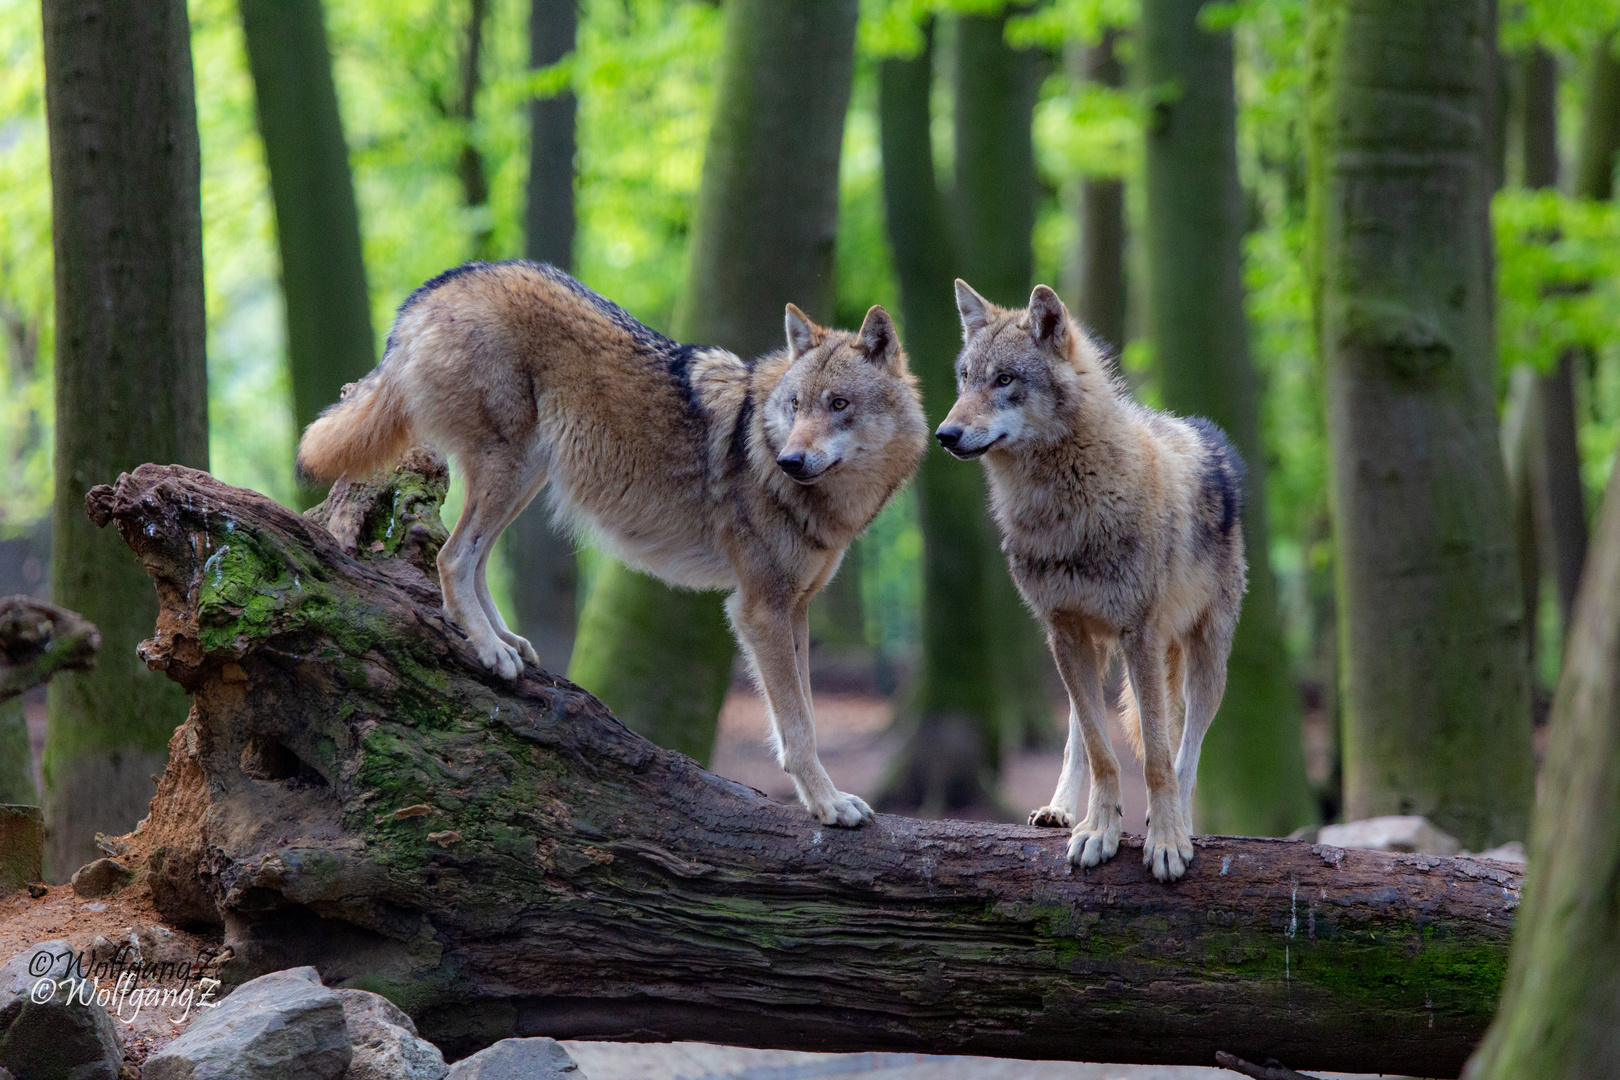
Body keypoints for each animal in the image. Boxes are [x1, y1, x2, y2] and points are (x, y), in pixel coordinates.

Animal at [299, 262, 933, 829]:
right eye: (796, 405)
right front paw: (827, 806)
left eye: (839, 404)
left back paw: (504, 640)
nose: (790, 461)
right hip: (511, 468)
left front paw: (818, 795)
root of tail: (435, 287)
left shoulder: (794, 609)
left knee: (472, 560)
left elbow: (802, 720)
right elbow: (799, 727)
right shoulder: (759, 610)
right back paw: (490, 650)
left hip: (527, 474)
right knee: (451, 557)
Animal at [933, 278, 1244, 880]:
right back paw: (1059, 810)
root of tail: (1207, 434)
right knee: (1080, 732)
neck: (1064, 510)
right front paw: (1098, 830)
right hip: (1089, 653)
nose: (944, 434)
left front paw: (1166, 839)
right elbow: (1101, 752)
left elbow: (1159, 755)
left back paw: (1181, 818)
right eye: (965, 378)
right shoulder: (1064, 632)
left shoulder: (1141, 637)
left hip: (1205, 659)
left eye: (1004, 380)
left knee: (1187, 745)